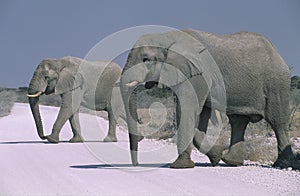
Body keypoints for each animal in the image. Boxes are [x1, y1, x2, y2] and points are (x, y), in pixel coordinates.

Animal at [119, 28, 296, 168]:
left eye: (146, 59)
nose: (136, 165)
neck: (168, 37)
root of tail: (277, 53)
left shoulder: (198, 73)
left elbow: (187, 110)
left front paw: (180, 166)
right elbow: (199, 114)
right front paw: (216, 156)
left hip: (277, 83)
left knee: (278, 122)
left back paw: (281, 164)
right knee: (238, 121)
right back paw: (231, 161)